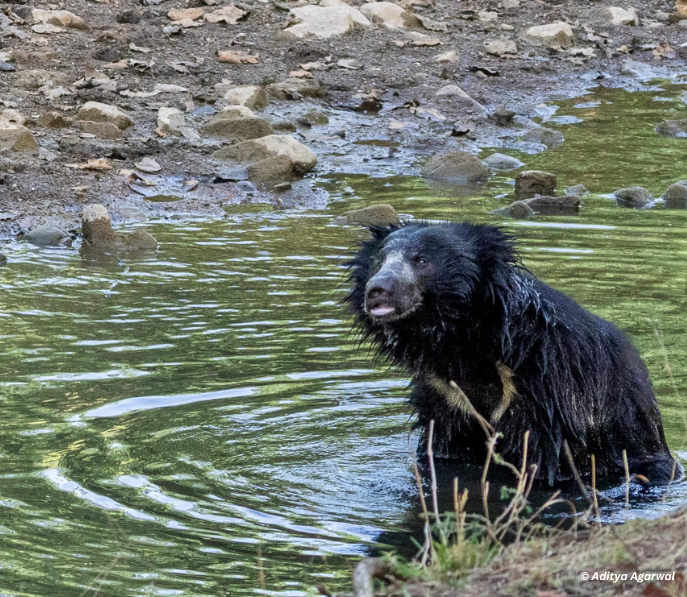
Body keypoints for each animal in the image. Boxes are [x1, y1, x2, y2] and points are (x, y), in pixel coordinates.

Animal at [345, 220, 679, 486]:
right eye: (379, 260)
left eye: (421, 260)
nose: (378, 290)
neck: (461, 341)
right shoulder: (443, 395)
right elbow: (443, 450)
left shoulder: (547, 394)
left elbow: (546, 461)